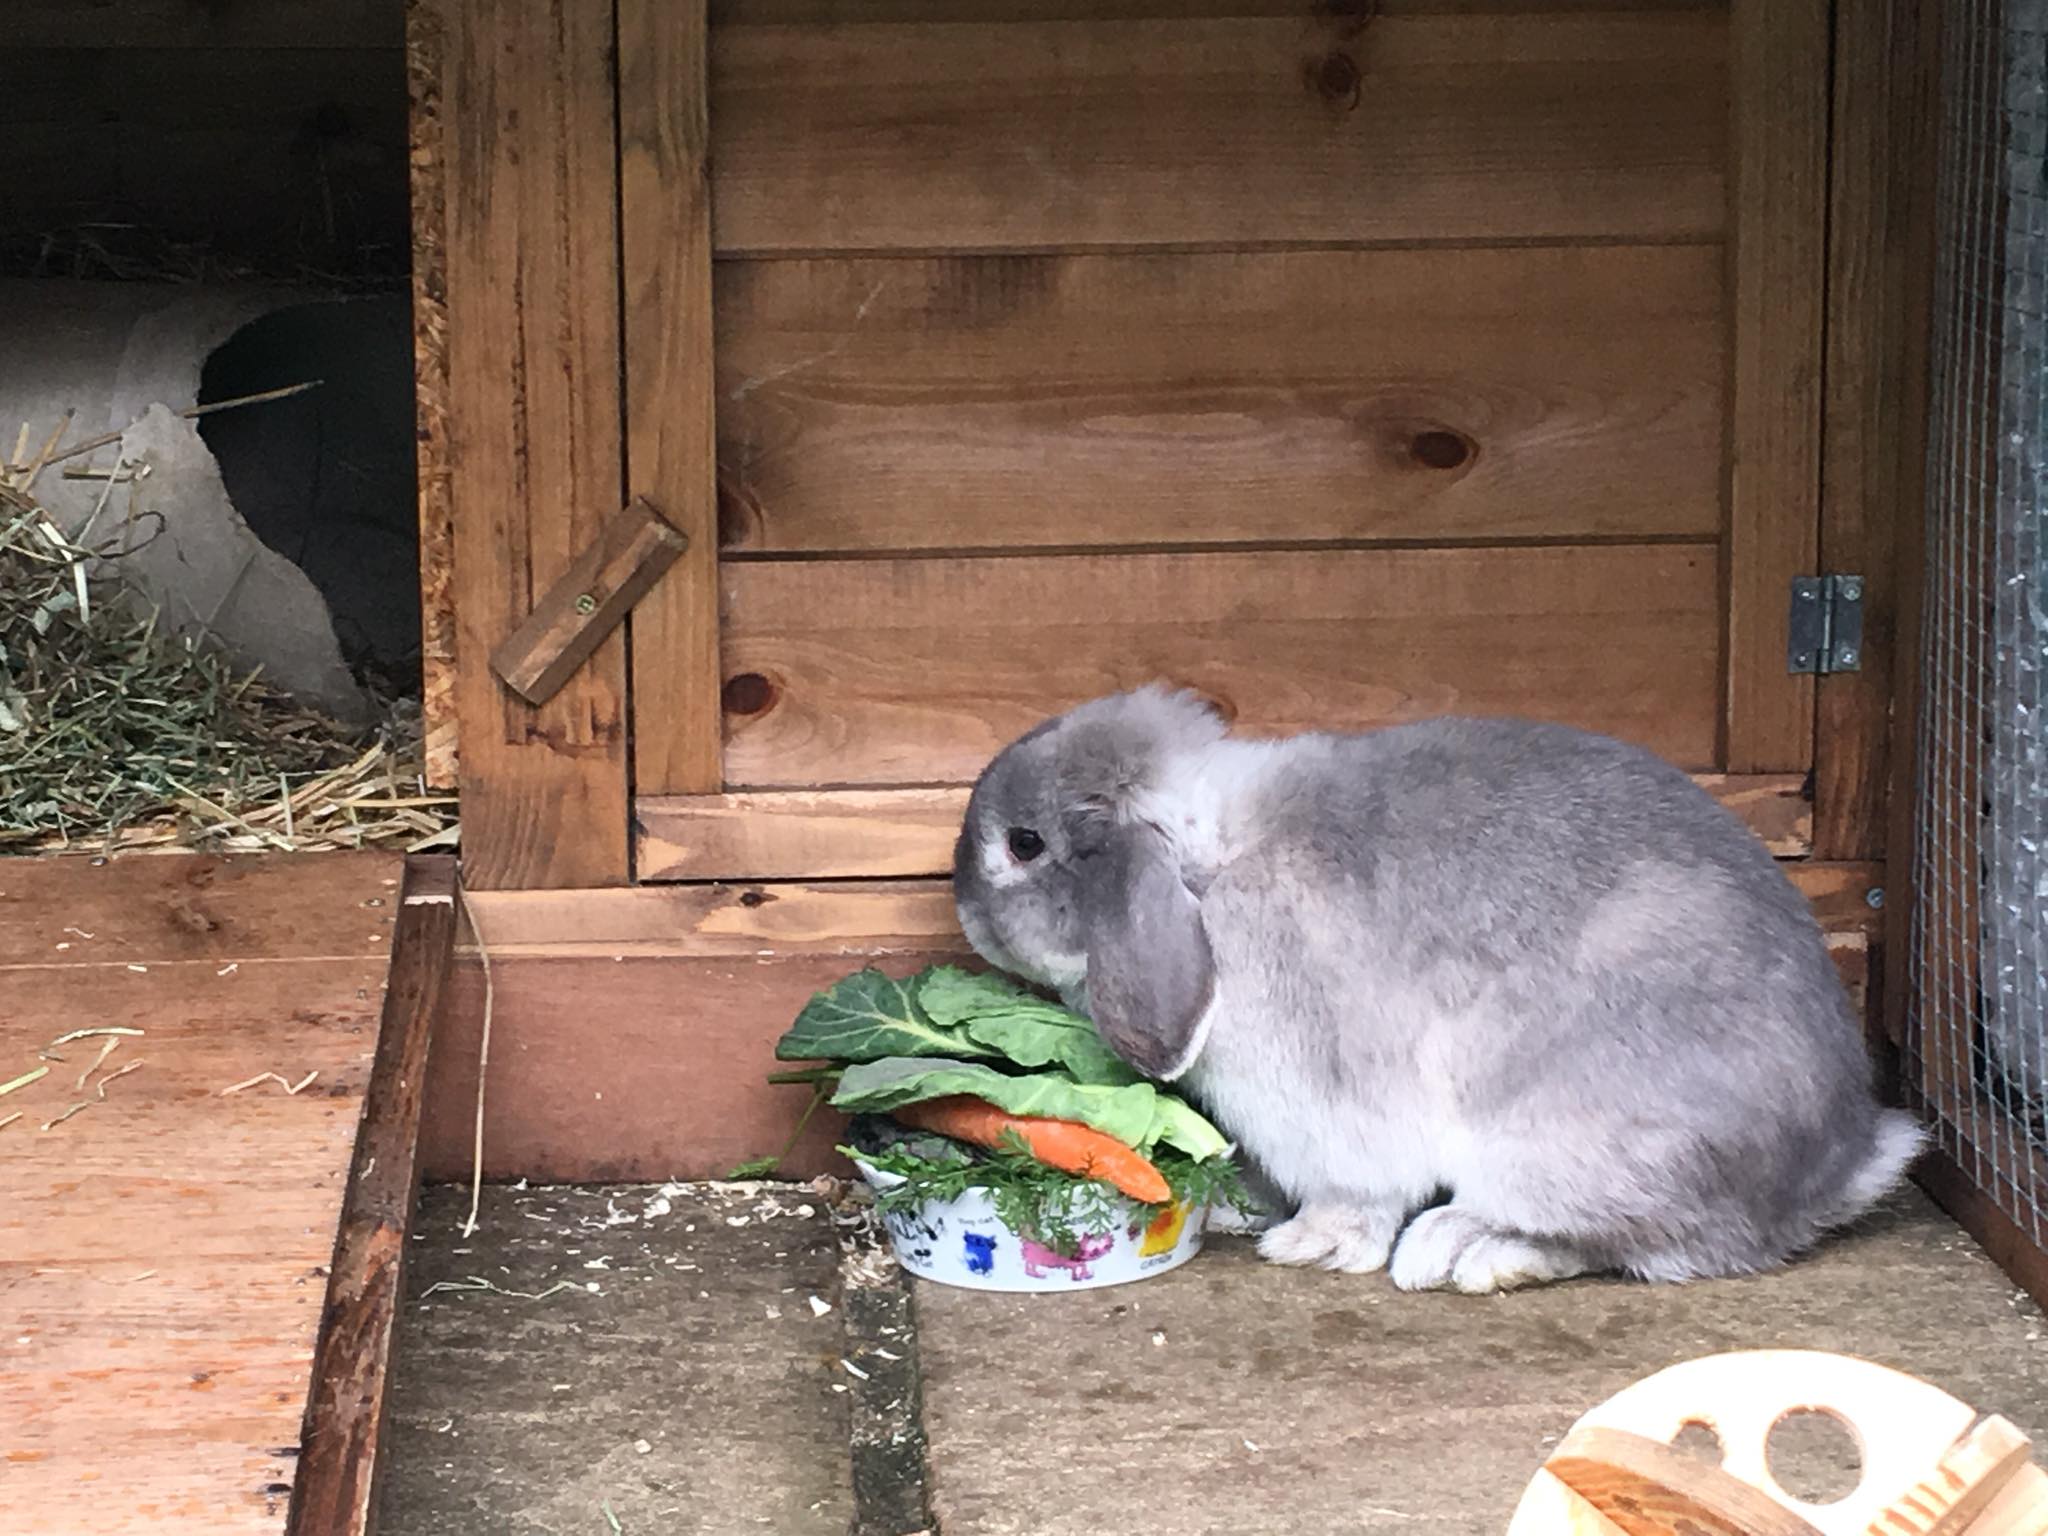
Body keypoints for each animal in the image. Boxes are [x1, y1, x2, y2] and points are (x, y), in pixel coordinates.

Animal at [950, 685, 1925, 1293]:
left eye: (1025, 844)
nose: (961, 909)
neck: (1207, 869)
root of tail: (1832, 1169)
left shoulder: (1328, 1107)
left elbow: (1355, 1196)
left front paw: (1305, 1244)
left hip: (1556, 1142)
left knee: (1640, 1245)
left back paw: (1464, 1251)